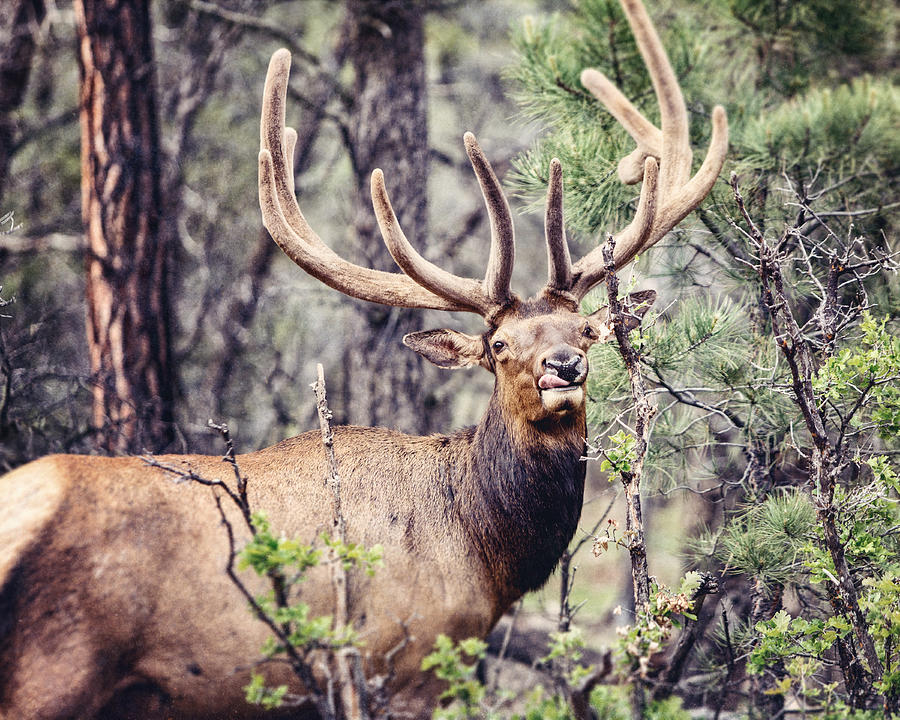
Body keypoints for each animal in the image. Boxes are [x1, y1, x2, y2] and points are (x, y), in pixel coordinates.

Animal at [0, 0, 720, 716]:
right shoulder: (406, 662)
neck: (484, 551)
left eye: (586, 330)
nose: (564, 367)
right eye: (499, 346)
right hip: (54, 669)